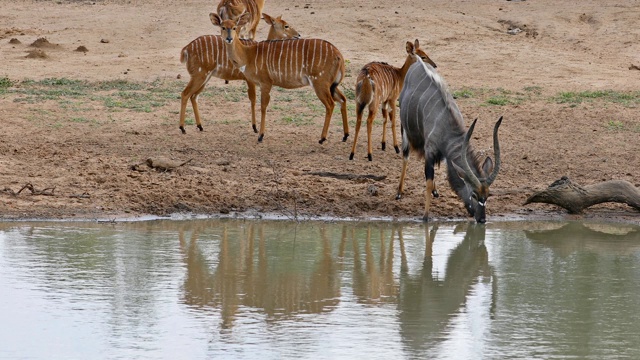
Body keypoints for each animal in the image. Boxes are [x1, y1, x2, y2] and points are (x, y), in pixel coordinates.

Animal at [212, 11, 348, 143]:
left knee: (330, 104)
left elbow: (263, 106)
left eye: (234, 27)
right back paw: (345, 136)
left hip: (320, 83)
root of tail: (338, 55)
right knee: (342, 99)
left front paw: (260, 136)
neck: (248, 55)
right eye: (223, 27)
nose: (229, 38)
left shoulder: (266, 82)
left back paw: (322, 138)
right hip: (330, 85)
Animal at [396, 60, 504, 224]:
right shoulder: (430, 151)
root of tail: (416, 63)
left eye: (487, 195)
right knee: (405, 155)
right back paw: (399, 192)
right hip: (405, 129)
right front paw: (425, 216)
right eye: (474, 194)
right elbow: (428, 181)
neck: (447, 125)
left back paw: (435, 192)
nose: (482, 220)